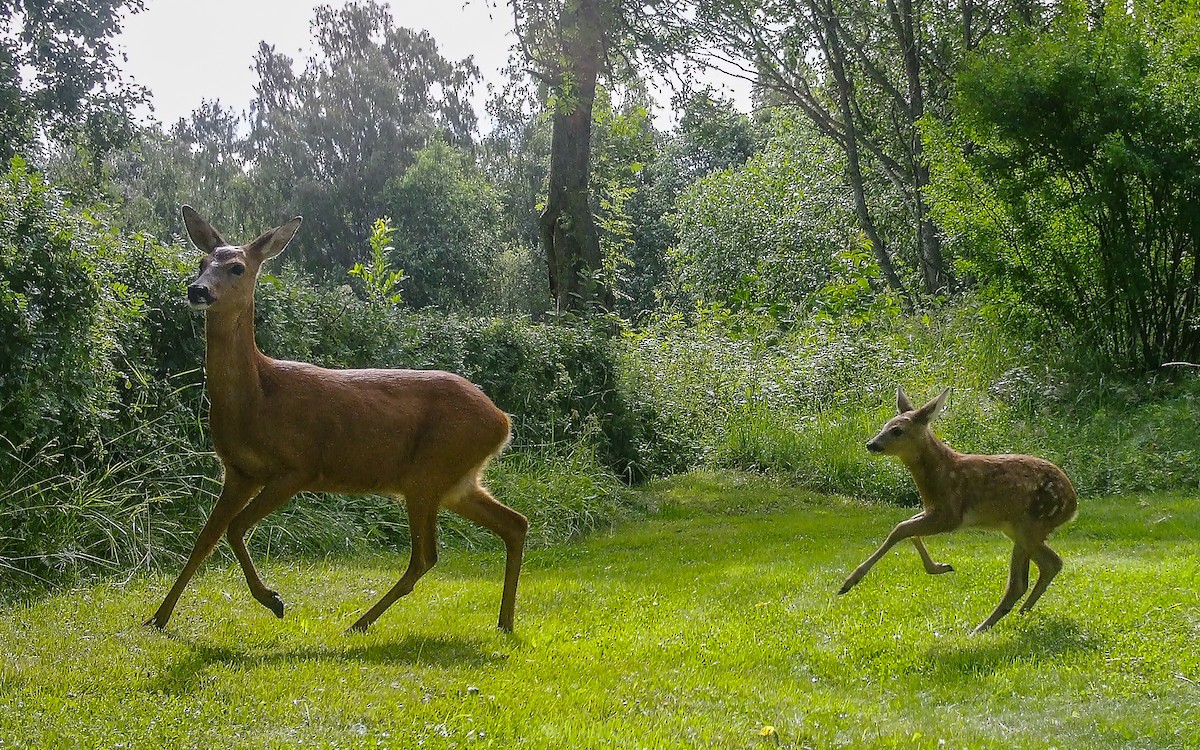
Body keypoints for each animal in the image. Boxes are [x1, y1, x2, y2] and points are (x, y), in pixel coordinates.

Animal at [145, 206, 528, 634]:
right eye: (201, 262)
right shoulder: (239, 470)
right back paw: (504, 622)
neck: (258, 394)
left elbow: (236, 528)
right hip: (456, 481)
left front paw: (272, 600)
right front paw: (158, 617)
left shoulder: (298, 466)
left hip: (429, 472)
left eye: (237, 267)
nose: (197, 290)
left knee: (426, 555)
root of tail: (503, 421)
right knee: (515, 524)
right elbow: (205, 538)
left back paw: (360, 622)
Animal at [838, 386, 1077, 634]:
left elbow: (900, 529)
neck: (941, 476)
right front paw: (941, 567)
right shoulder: (933, 511)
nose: (871, 444)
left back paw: (980, 628)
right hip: (1017, 529)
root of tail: (1073, 506)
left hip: (1030, 524)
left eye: (897, 431)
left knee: (1019, 583)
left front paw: (849, 582)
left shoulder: (950, 515)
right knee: (1052, 563)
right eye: (885, 425)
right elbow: (907, 529)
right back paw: (1020, 615)